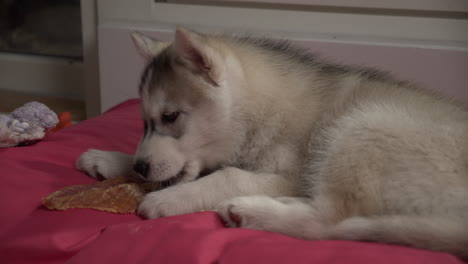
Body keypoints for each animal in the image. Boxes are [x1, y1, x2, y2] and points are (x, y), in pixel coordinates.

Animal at [77, 28, 468, 258]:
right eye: (144, 122)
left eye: (171, 117)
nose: (141, 167)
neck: (260, 110)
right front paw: (109, 159)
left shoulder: (291, 174)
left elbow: (227, 175)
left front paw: (168, 198)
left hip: (365, 127)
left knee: (328, 223)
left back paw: (253, 211)